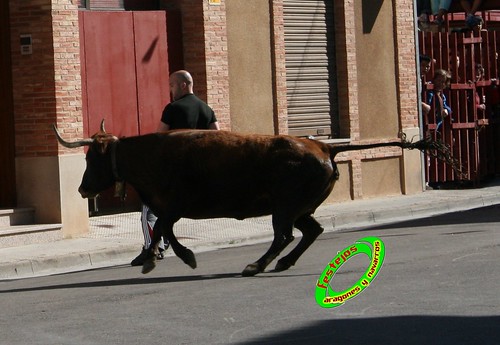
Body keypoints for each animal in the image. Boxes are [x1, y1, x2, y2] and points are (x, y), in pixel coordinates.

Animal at [52, 122, 452, 276]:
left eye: (92, 159)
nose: (82, 189)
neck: (153, 154)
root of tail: (324, 147)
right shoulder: (169, 208)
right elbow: (161, 229)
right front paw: (153, 257)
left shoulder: (174, 206)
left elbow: (165, 229)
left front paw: (182, 257)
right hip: (298, 208)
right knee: (311, 231)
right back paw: (281, 264)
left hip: (285, 208)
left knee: (284, 235)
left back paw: (256, 265)